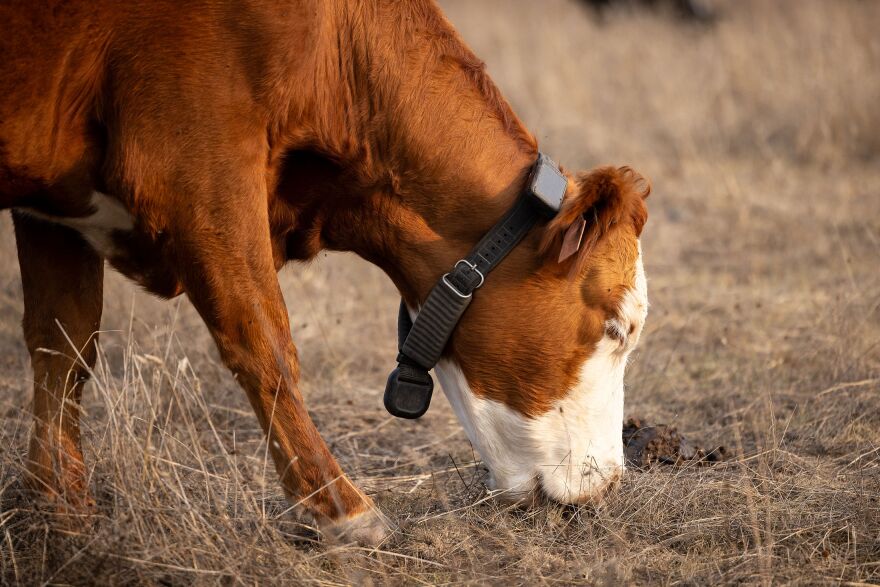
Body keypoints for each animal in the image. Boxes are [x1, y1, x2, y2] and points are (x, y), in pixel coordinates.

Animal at [0, 0, 649, 544]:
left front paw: (64, 513)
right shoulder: (201, 173)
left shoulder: (55, 210)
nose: (611, 483)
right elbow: (265, 342)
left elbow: (63, 347)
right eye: (616, 328)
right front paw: (342, 510)